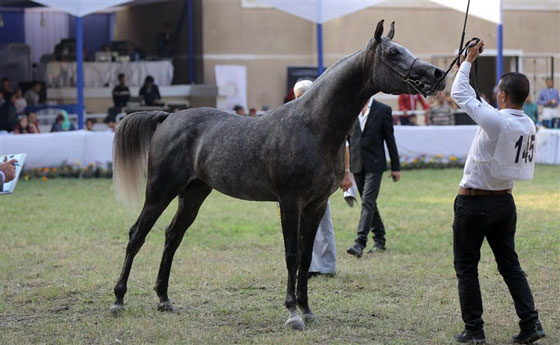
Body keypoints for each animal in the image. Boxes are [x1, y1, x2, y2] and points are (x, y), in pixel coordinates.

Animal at [108, 20, 442, 328]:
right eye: (393, 52)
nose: (436, 74)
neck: (313, 127)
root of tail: (167, 118)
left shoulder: (316, 204)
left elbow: (306, 256)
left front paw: (306, 309)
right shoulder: (290, 201)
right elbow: (291, 255)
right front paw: (293, 313)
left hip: (194, 193)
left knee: (172, 236)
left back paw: (164, 299)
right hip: (160, 191)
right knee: (137, 234)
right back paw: (118, 300)